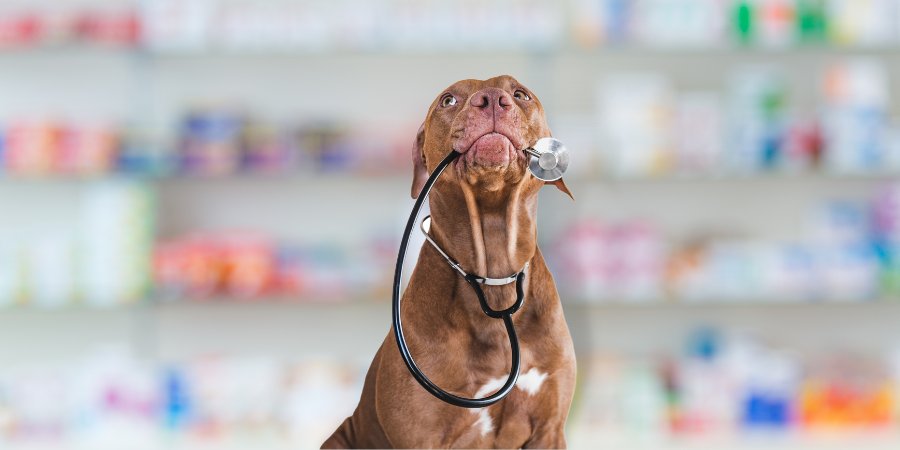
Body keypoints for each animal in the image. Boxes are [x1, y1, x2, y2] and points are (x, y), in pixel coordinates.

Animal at [324, 75, 576, 448]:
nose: (492, 99)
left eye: (520, 94)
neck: (493, 273)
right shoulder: (420, 436)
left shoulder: (549, 428)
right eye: (448, 100)